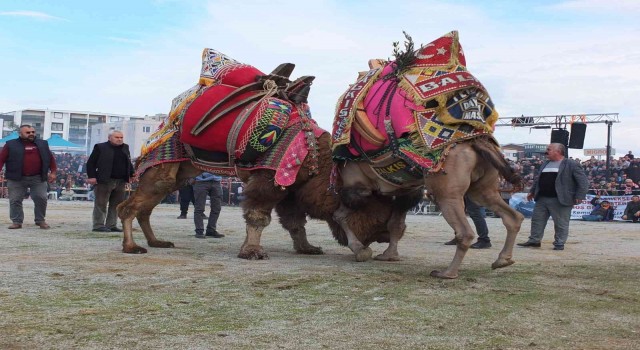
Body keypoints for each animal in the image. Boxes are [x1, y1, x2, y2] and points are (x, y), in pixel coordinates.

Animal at [330, 32, 524, 278]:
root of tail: (476, 141)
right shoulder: (404, 190)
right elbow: (395, 224)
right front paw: (389, 255)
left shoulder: (357, 186)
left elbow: (340, 216)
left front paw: (360, 250)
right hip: (483, 187)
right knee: (512, 217)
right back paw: (502, 260)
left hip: (445, 192)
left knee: (465, 232)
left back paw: (447, 273)